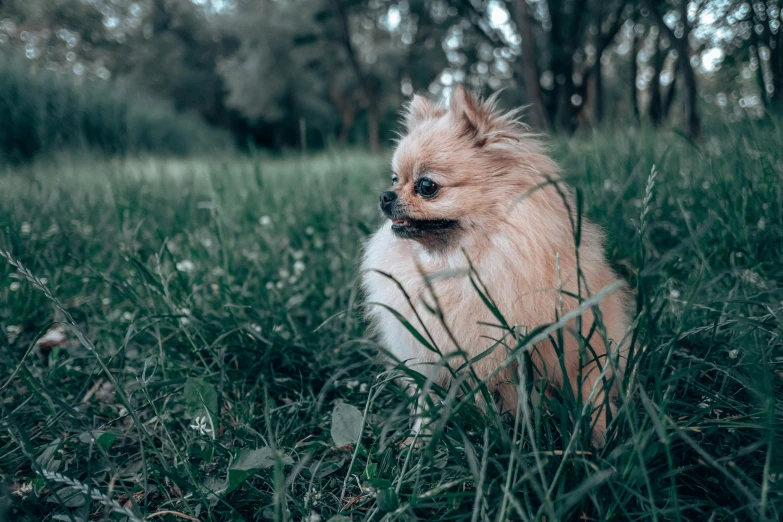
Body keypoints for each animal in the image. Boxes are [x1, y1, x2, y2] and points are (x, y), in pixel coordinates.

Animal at [362, 85, 632, 442]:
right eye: (394, 179)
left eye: (426, 186)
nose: (385, 196)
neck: (457, 264)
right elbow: (426, 400)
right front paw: (419, 441)